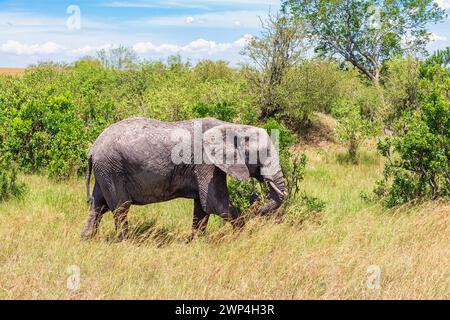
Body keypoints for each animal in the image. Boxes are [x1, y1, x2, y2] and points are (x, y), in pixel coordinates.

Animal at [81, 117, 284, 240]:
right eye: (264, 154)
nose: (257, 208)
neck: (232, 126)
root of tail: (92, 149)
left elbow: (202, 208)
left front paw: (194, 243)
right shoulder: (206, 163)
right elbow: (215, 203)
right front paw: (242, 236)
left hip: (105, 170)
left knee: (98, 206)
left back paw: (87, 240)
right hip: (112, 168)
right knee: (120, 207)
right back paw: (125, 242)